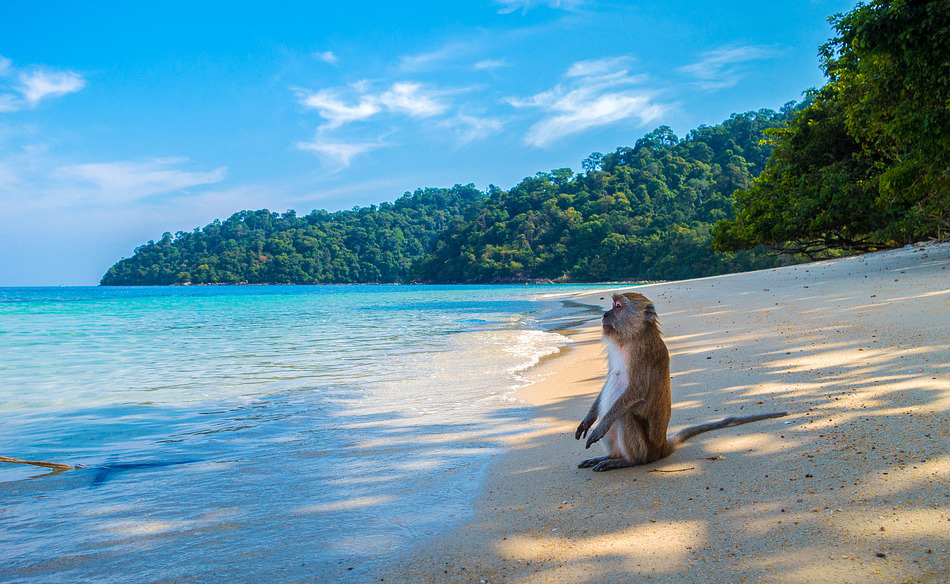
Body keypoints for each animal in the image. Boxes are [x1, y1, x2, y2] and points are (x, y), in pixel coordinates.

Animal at [574, 292, 787, 472]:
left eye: (618, 306)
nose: (604, 315)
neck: (632, 337)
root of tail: (662, 446)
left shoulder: (642, 353)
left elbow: (636, 391)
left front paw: (601, 425)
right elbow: (609, 381)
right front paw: (588, 420)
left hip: (646, 449)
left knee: (624, 416)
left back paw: (627, 461)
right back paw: (609, 457)